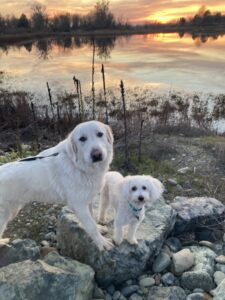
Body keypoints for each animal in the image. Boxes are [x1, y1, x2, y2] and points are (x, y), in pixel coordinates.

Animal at [0, 120, 113, 250]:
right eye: (82, 139)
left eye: (100, 134)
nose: (97, 155)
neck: (76, 164)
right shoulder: (79, 205)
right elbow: (91, 226)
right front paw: (102, 242)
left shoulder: (87, 200)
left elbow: (92, 218)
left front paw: (99, 229)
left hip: (11, 212)